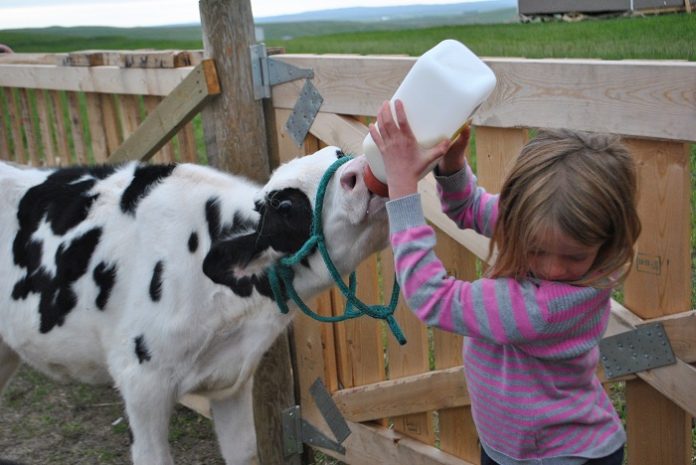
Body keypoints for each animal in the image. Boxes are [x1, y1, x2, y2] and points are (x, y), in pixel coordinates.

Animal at [0, 147, 392, 462]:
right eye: (284, 206)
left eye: (337, 153)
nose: (360, 169)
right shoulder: (140, 383)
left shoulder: (232, 380)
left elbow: (243, 452)